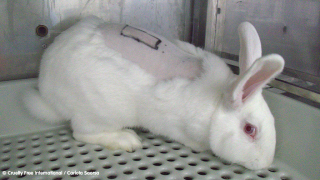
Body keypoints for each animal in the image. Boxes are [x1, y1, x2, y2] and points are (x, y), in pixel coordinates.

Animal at [23, 15, 286, 170]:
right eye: (250, 130)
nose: (265, 163)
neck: (216, 104)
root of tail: (47, 91)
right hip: (100, 112)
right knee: (81, 133)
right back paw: (126, 139)